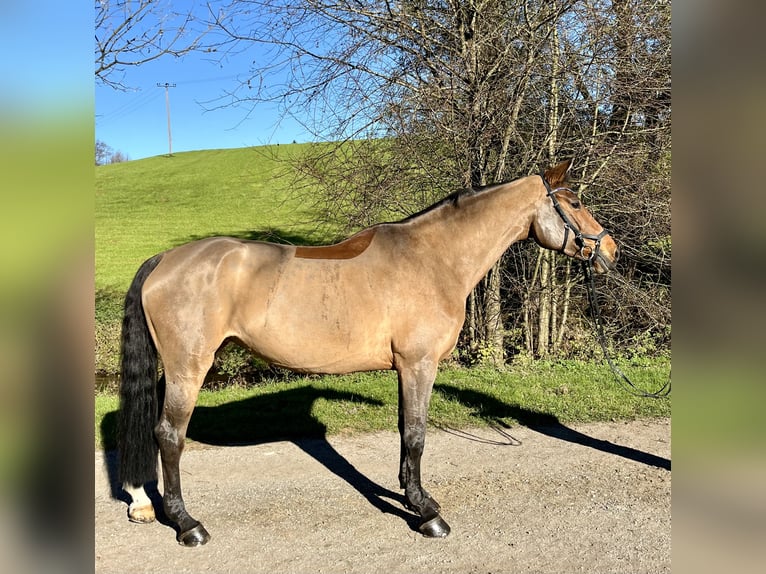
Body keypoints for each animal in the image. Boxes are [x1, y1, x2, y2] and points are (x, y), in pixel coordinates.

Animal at [121, 160, 624, 548]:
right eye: (574, 202)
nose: (611, 250)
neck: (433, 259)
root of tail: (165, 260)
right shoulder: (419, 364)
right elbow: (417, 435)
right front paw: (427, 515)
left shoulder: (406, 368)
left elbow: (405, 432)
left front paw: (412, 497)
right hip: (189, 369)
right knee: (169, 435)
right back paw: (188, 525)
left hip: (175, 370)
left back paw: (144, 502)